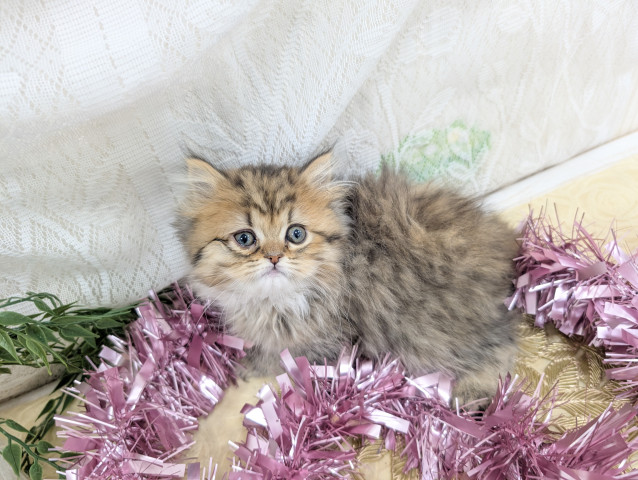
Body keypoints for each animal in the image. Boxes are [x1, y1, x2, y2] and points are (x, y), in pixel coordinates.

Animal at [177, 152, 520, 402]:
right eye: (245, 239)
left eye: (296, 234)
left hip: (426, 334)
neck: (275, 302)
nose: (274, 258)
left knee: (501, 352)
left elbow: (282, 358)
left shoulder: (329, 339)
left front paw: (250, 368)